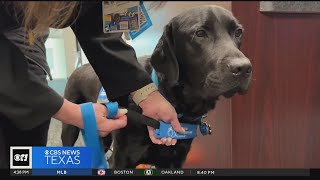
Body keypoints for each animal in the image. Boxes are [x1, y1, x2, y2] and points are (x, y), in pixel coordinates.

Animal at [61, 5, 252, 168]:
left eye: (239, 32)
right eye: (200, 33)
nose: (244, 68)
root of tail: (80, 68)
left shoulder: (175, 160)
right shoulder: (121, 160)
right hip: (70, 129)